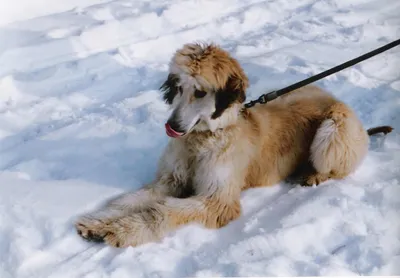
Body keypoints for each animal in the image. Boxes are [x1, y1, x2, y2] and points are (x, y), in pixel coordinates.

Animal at [75, 41, 394, 248]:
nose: (172, 127)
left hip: (334, 129)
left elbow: (162, 210)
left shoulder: (218, 197)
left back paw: (313, 174)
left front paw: (121, 230)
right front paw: (98, 221)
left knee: (333, 164)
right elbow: (131, 199)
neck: (204, 138)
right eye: (179, 87)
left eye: (200, 92)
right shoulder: (171, 178)